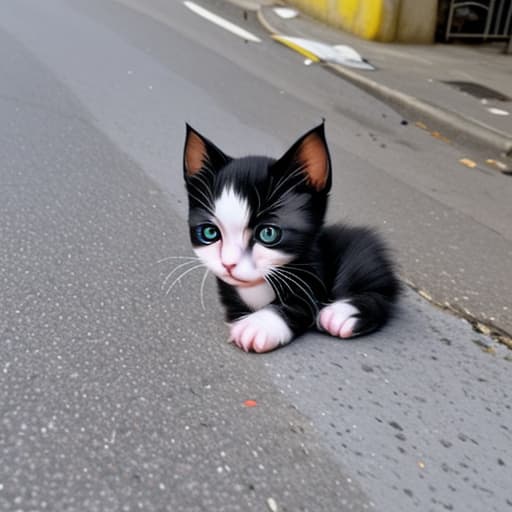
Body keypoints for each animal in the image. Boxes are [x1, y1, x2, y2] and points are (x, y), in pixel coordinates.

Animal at [183, 124, 400, 352]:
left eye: (268, 233)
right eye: (209, 233)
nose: (228, 264)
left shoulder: (314, 272)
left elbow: (301, 305)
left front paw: (258, 325)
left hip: (361, 262)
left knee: (381, 297)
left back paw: (340, 314)